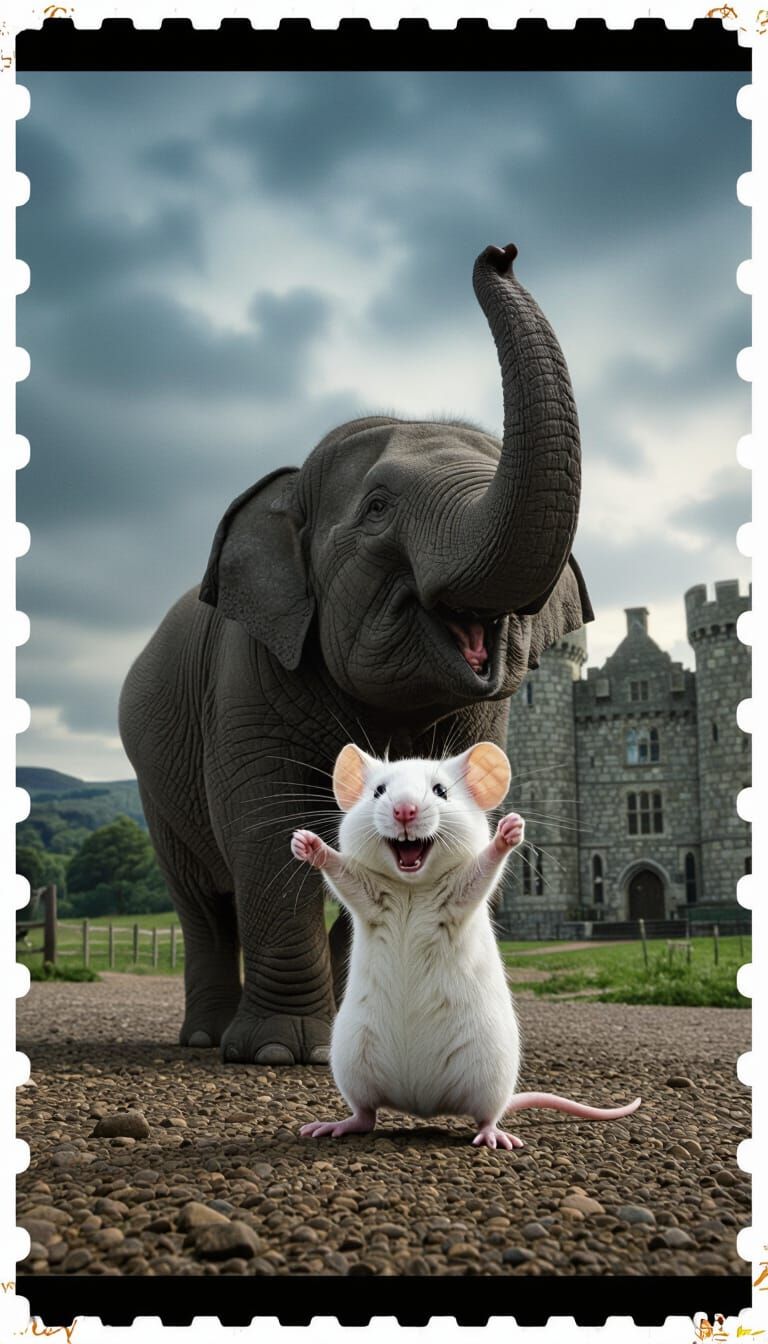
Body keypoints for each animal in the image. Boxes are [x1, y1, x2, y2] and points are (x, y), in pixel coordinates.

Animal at [118, 242, 593, 1065]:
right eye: (376, 509)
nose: (500, 252)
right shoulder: (250, 671)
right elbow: (269, 831)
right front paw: (282, 1053)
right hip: (155, 788)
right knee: (202, 903)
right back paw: (208, 1038)